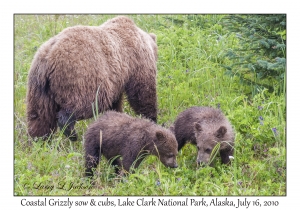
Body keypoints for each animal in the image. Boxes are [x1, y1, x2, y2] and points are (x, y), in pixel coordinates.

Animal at [26, 15, 158, 140]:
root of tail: (48, 56)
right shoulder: (137, 61)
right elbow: (143, 93)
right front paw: (152, 119)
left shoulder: (117, 77)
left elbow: (115, 102)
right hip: (82, 74)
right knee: (86, 103)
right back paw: (71, 133)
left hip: (40, 88)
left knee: (40, 117)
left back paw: (41, 140)